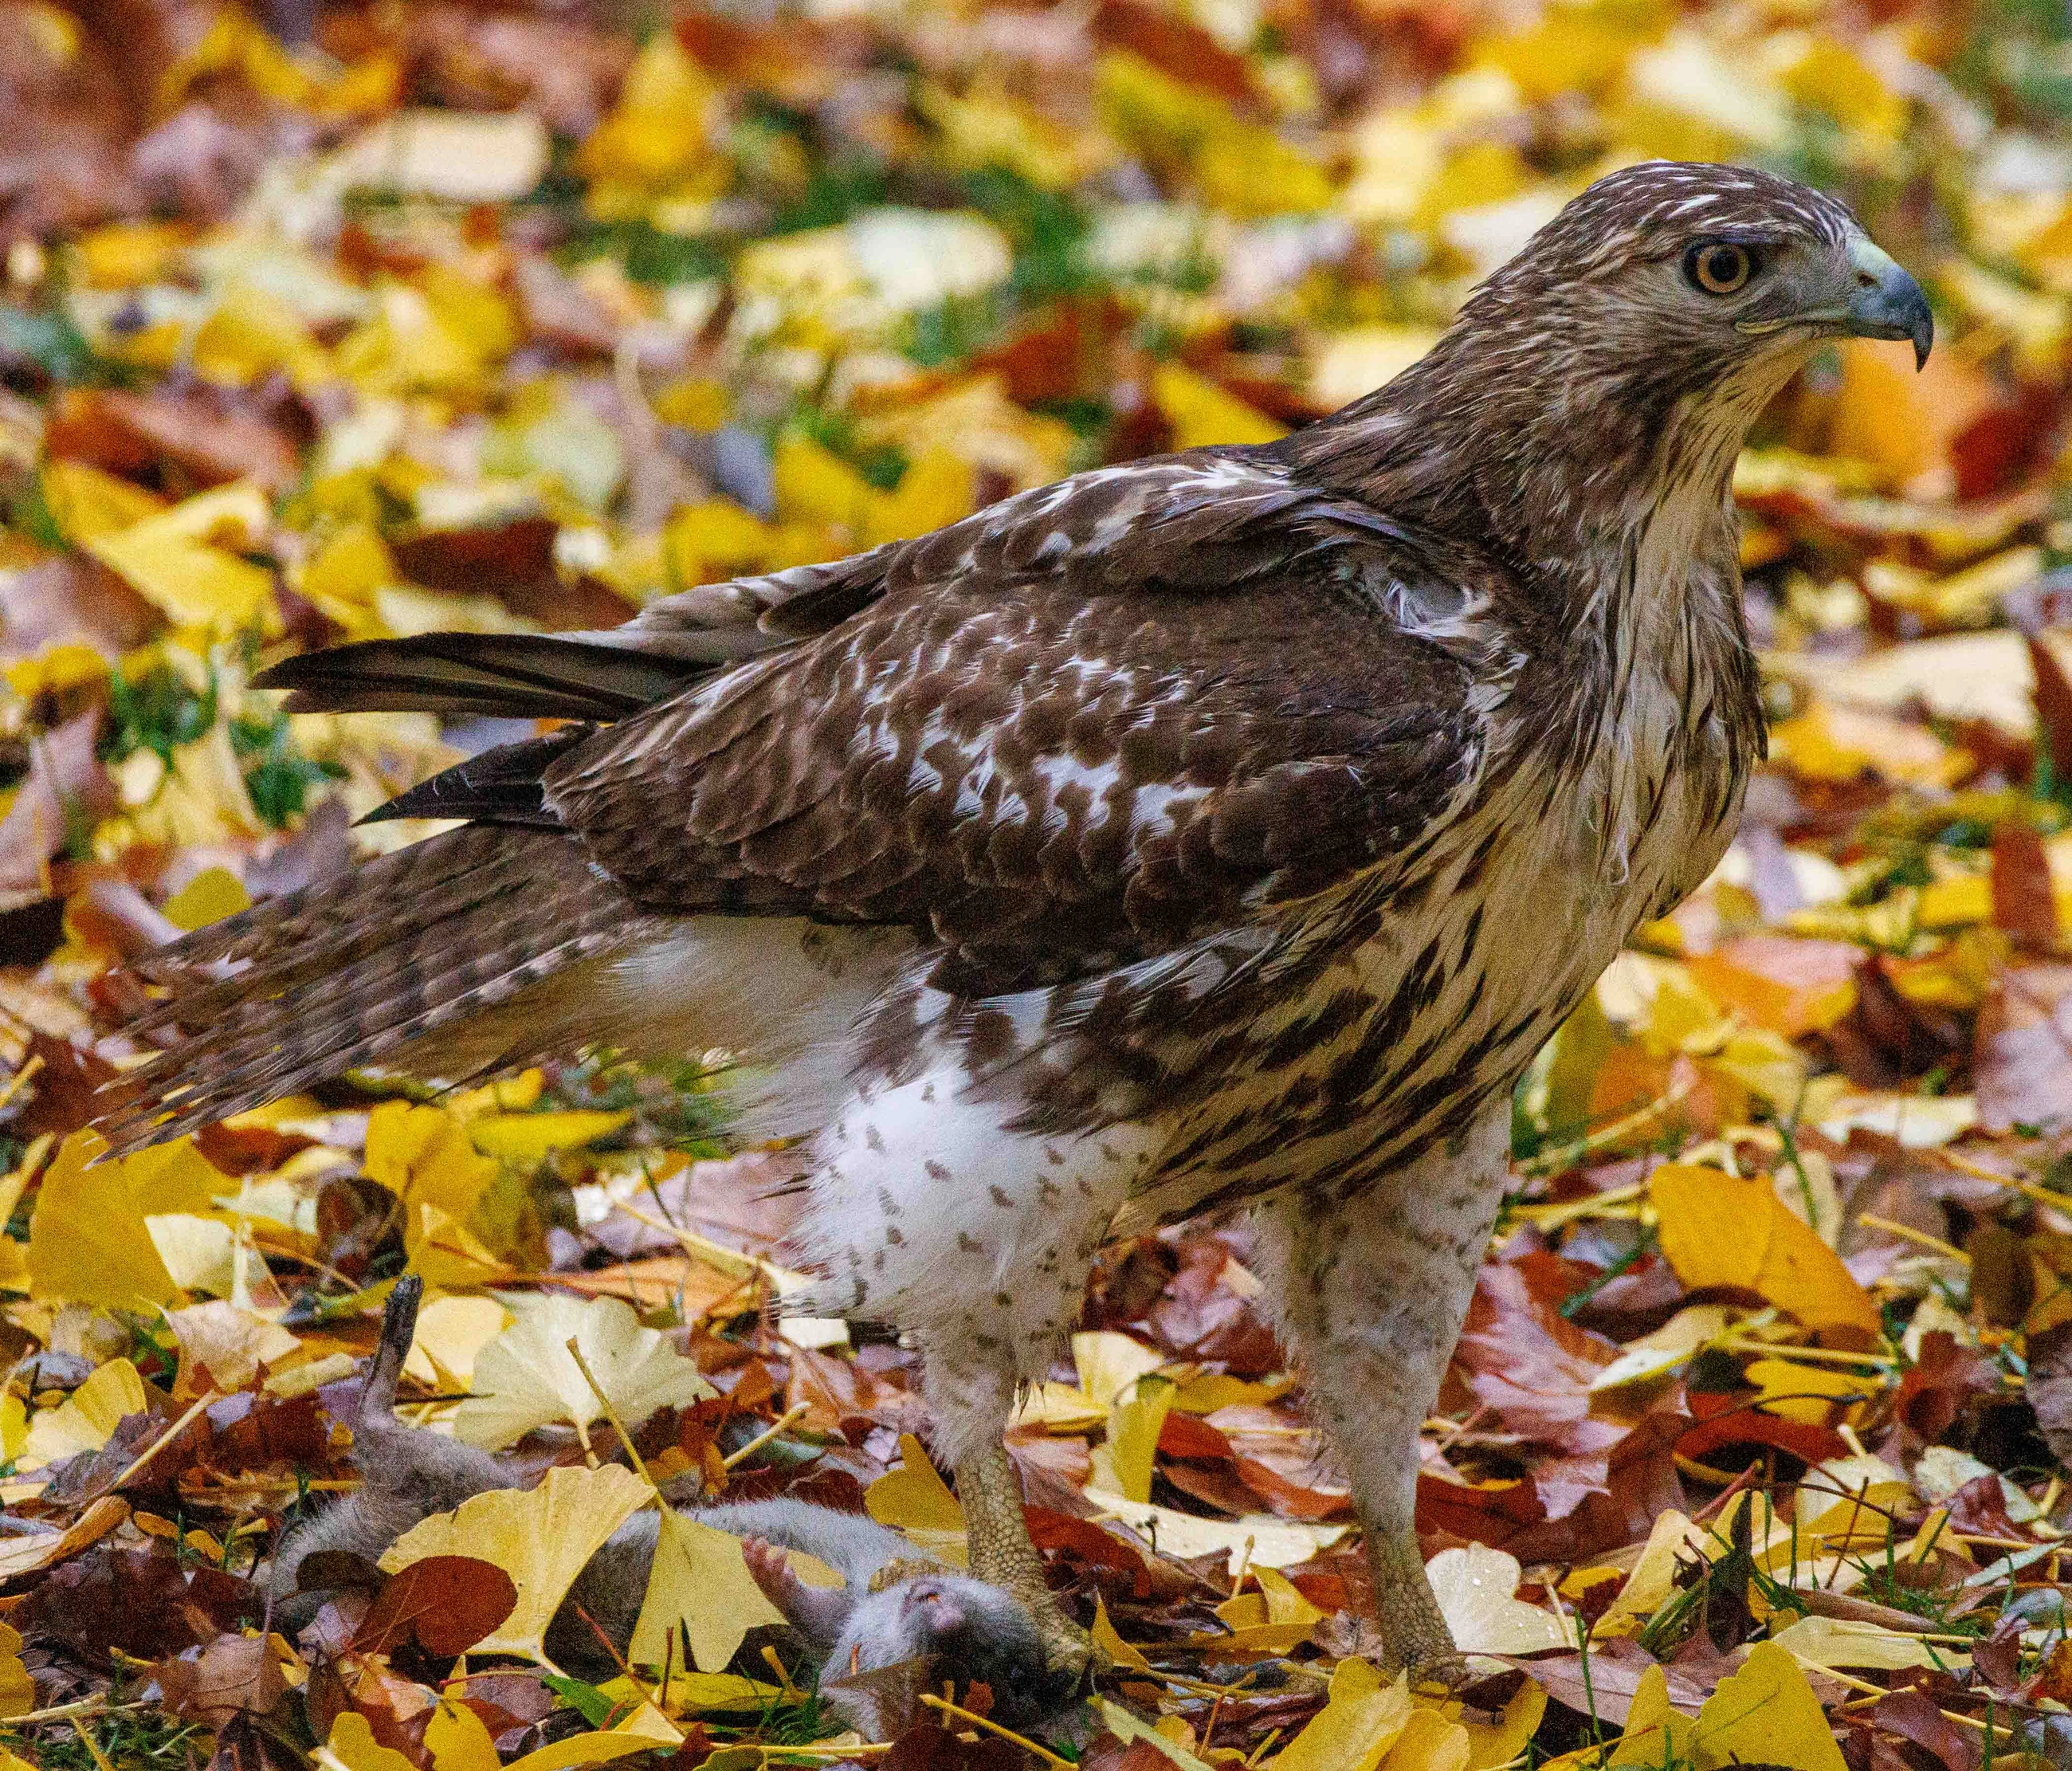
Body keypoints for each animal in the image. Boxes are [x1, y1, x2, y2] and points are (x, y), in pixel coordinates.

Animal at [271, 1278, 1068, 1724]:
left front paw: (770, 1574)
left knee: (383, 1436)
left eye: (946, 1675)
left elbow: (801, 1616)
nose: (941, 1611)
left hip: (460, 1489)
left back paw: (390, 1348)